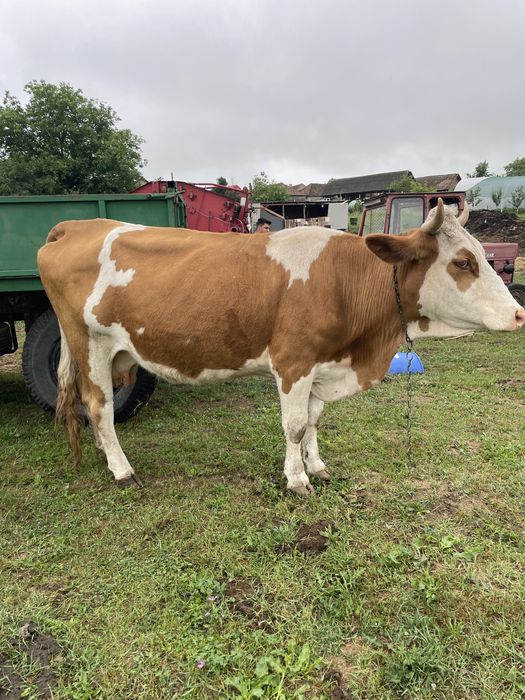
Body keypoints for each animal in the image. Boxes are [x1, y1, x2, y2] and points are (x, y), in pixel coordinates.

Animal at [38, 199, 524, 495]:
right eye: (463, 262)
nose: (519, 314)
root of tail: (76, 225)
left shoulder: (322, 365)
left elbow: (313, 421)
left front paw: (316, 465)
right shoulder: (294, 363)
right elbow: (293, 426)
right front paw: (296, 479)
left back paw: (103, 452)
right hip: (89, 342)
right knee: (98, 405)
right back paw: (122, 468)